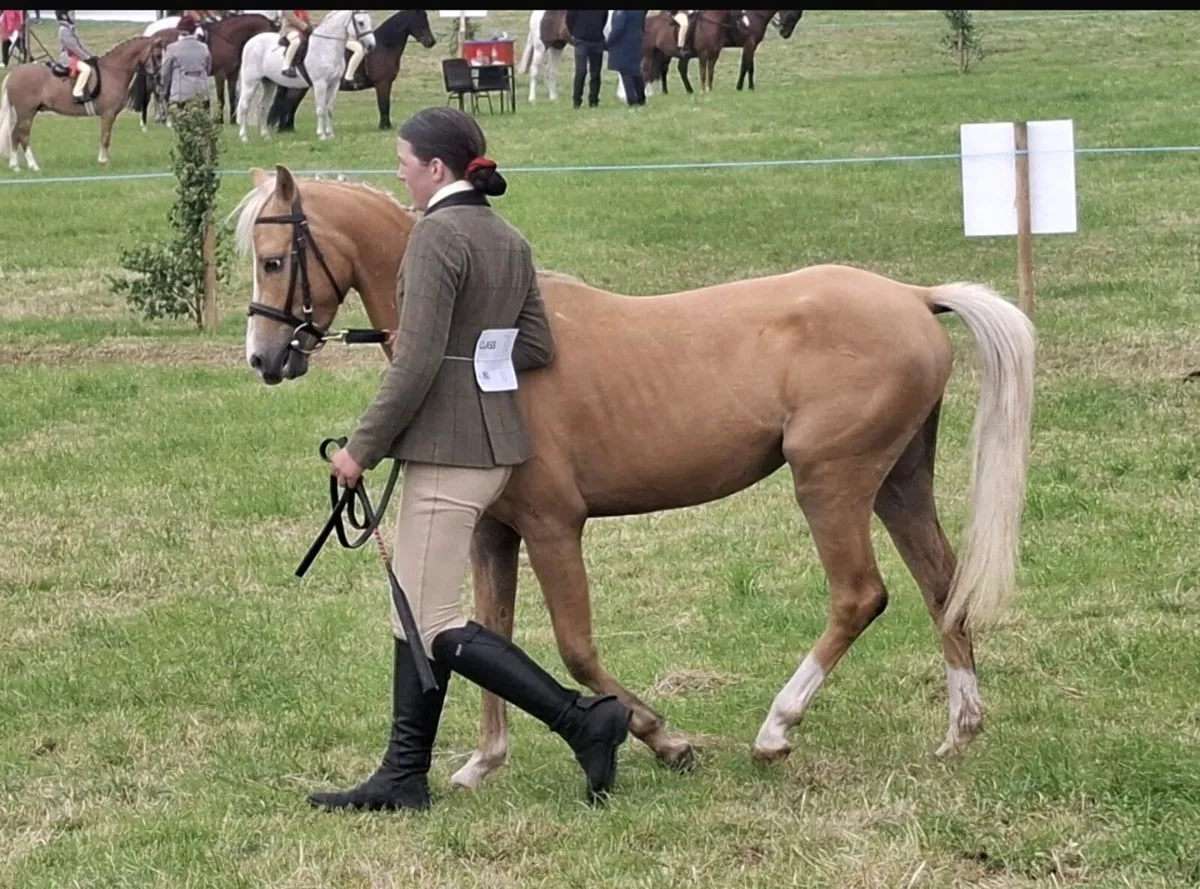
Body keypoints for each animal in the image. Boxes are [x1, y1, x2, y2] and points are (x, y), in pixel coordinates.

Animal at [0, 34, 175, 171]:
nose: (161, 78)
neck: (113, 71)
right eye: (158, 55)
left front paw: (103, 160)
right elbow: (105, 137)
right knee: (23, 136)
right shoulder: (108, 114)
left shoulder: (109, 115)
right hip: (26, 113)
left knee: (14, 135)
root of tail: (13, 74)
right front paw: (103, 161)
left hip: (27, 113)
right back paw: (33, 166)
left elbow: (105, 137)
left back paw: (15, 166)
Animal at [233, 166, 1037, 791]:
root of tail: (912, 295)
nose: (263, 358)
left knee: (860, 596)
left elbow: (575, 646)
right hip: (899, 480)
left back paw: (776, 729)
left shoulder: (554, 526)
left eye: (272, 260)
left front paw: (659, 737)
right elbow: (484, 629)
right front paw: (484, 761)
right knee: (943, 584)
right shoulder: (493, 531)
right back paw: (961, 729)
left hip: (829, 482)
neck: (483, 348)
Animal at [235, 10, 375, 144]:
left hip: (269, 83)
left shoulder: (334, 84)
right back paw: (244, 137)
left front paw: (330, 134)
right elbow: (320, 109)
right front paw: (322, 135)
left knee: (263, 107)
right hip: (250, 82)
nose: (371, 46)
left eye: (369, 21)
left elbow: (329, 108)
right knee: (244, 106)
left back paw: (266, 136)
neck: (325, 47)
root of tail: (251, 41)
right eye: (361, 23)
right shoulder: (320, 84)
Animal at [265, 10, 437, 135]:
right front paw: (385, 126)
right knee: (289, 103)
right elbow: (384, 105)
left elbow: (384, 105)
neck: (384, 47)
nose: (431, 42)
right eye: (421, 20)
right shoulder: (383, 83)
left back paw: (287, 129)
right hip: (300, 87)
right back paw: (285, 129)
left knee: (290, 104)